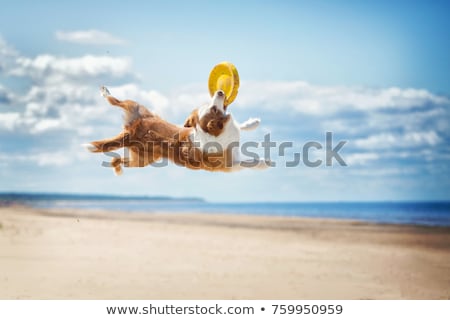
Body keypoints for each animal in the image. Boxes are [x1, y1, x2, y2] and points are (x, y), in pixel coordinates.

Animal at [84, 86, 268, 175]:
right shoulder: (227, 165)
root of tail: (131, 130)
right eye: (213, 109)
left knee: (116, 103)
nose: (220, 91)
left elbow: (240, 126)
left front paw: (253, 123)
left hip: (140, 120)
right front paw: (264, 163)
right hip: (142, 155)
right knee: (115, 101)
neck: (215, 133)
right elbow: (246, 162)